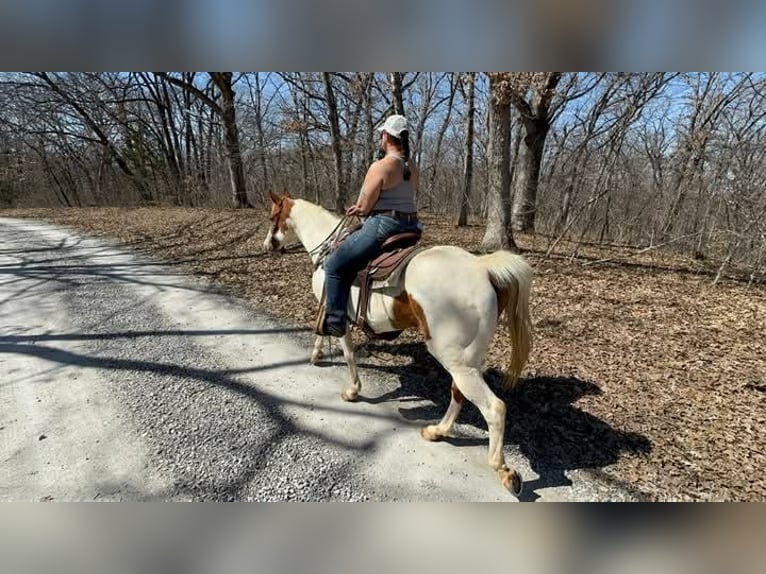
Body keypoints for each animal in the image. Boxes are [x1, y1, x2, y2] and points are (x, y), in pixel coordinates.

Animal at [263, 191, 533, 496]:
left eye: (272, 216)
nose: (268, 245)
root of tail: (482, 267)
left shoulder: (336, 310)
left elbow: (347, 351)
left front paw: (353, 390)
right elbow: (323, 331)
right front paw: (316, 355)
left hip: (455, 359)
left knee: (493, 407)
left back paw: (504, 470)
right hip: (467, 360)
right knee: (459, 393)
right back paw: (437, 431)